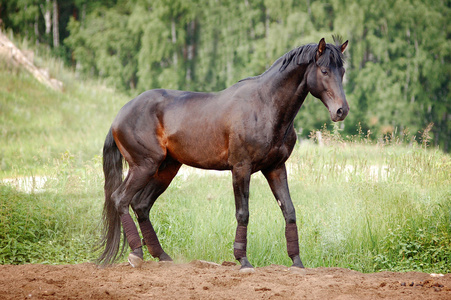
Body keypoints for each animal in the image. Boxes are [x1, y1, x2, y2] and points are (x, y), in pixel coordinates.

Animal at [98, 37, 350, 272]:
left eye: (343, 71)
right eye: (324, 71)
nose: (341, 110)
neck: (264, 106)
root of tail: (120, 115)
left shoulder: (276, 168)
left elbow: (289, 211)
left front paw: (297, 262)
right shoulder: (241, 168)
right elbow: (243, 213)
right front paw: (243, 261)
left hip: (166, 169)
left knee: (141, 205)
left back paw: (162, 256)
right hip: (144, 166)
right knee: (121, 199)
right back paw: (136, 254)